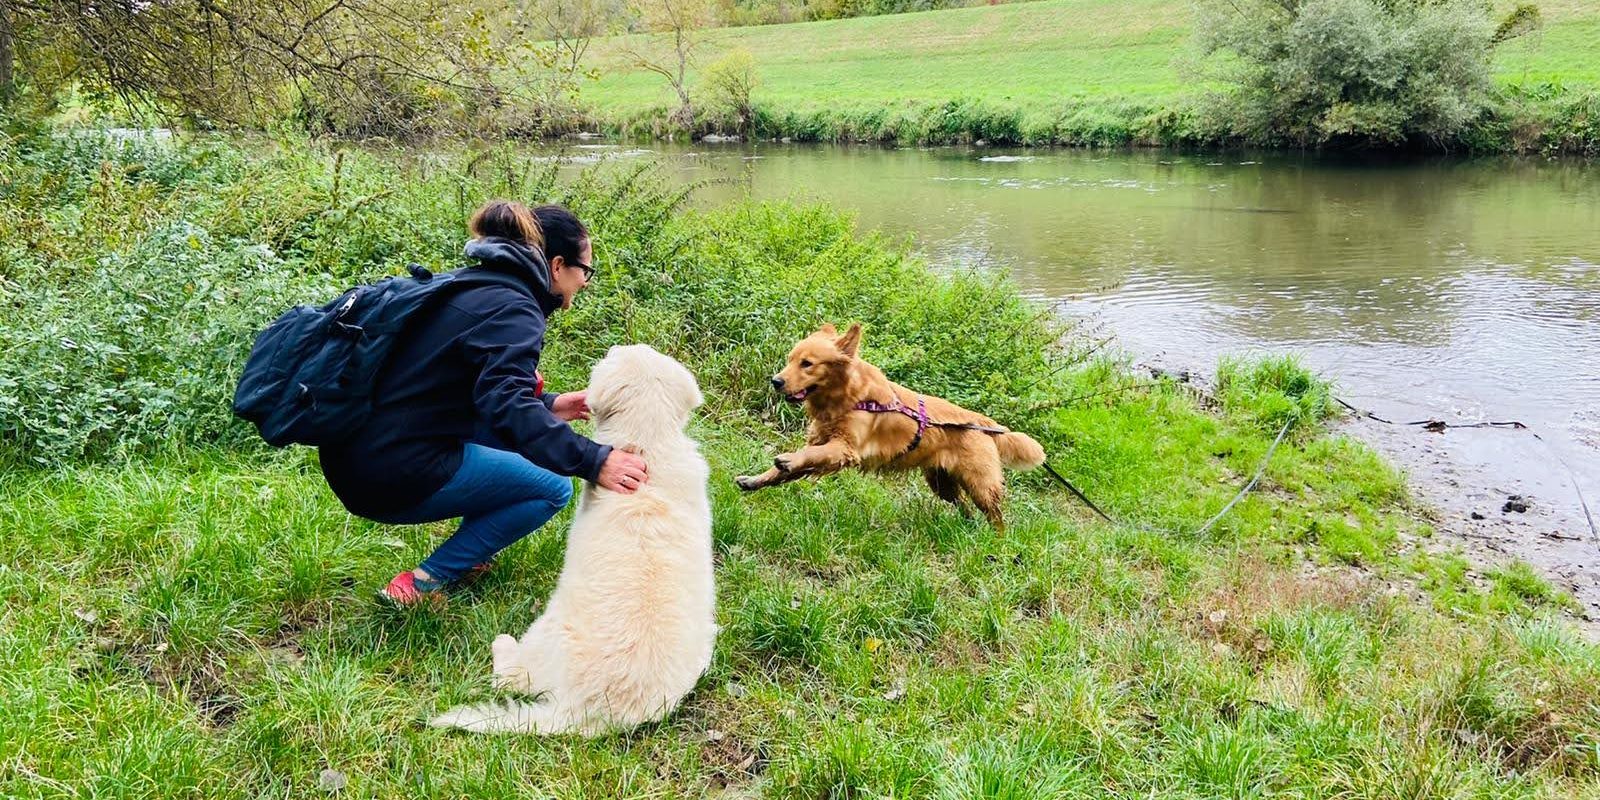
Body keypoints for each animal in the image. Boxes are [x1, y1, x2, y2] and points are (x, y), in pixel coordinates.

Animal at [425, 344, 713, 736]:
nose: (614, 346)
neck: (647, 445)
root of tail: (588, 711)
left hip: (546, 631)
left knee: (510, 677)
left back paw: (502, 644)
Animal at [736, 321, 1049, 528]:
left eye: (807, 364)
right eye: (790, 360)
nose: (776, 381)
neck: (850, 397)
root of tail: (986, 425)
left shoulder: (844, 448)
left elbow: (806, 455)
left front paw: (787, 459)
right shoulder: (823, 440)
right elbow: (786, 468)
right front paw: (755, 480)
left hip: (980, 484)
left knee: (995, 515)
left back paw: (997, 541)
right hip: (941, 483)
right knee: (963, 506)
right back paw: (967, 527)